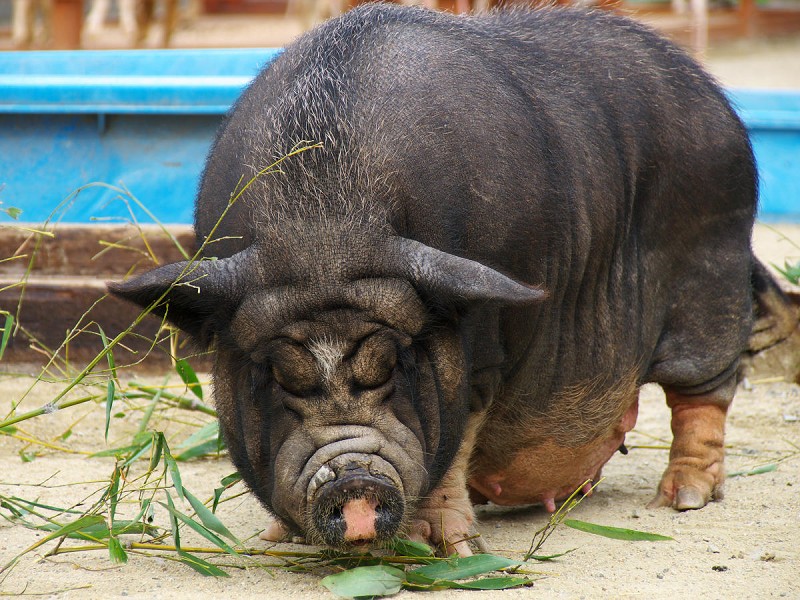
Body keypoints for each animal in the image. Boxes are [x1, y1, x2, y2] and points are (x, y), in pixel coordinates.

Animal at [111, 5, 768, 556]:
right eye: (276, 375)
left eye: (395, 364)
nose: (353, 480)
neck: (324, 230)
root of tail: (711, 93)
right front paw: (273, 540)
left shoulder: (484, 355)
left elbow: (457, 440)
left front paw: (455, 551)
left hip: (712, 273)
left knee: (704, 392)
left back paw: (680, 501)